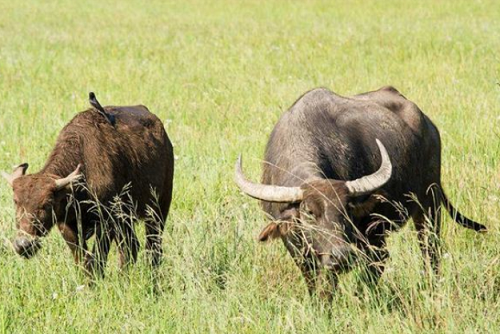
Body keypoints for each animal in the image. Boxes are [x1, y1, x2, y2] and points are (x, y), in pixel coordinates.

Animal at [1, 94, 174, 276]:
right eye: (15, 201)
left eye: (47, 204)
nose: (23, 244)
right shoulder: (67, 226)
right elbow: (83, 259)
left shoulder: (106, 223)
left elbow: (97, 259)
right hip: (126, 219)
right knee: (130, 248)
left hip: (158, 209)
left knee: (152, 247)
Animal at [236, 85, 486, 300]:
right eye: (308, 212)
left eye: (346, 211)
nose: (342, 256)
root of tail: (428, 125)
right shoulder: (295, 244)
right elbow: (312, 279)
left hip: (428, 205)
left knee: (427, 251)